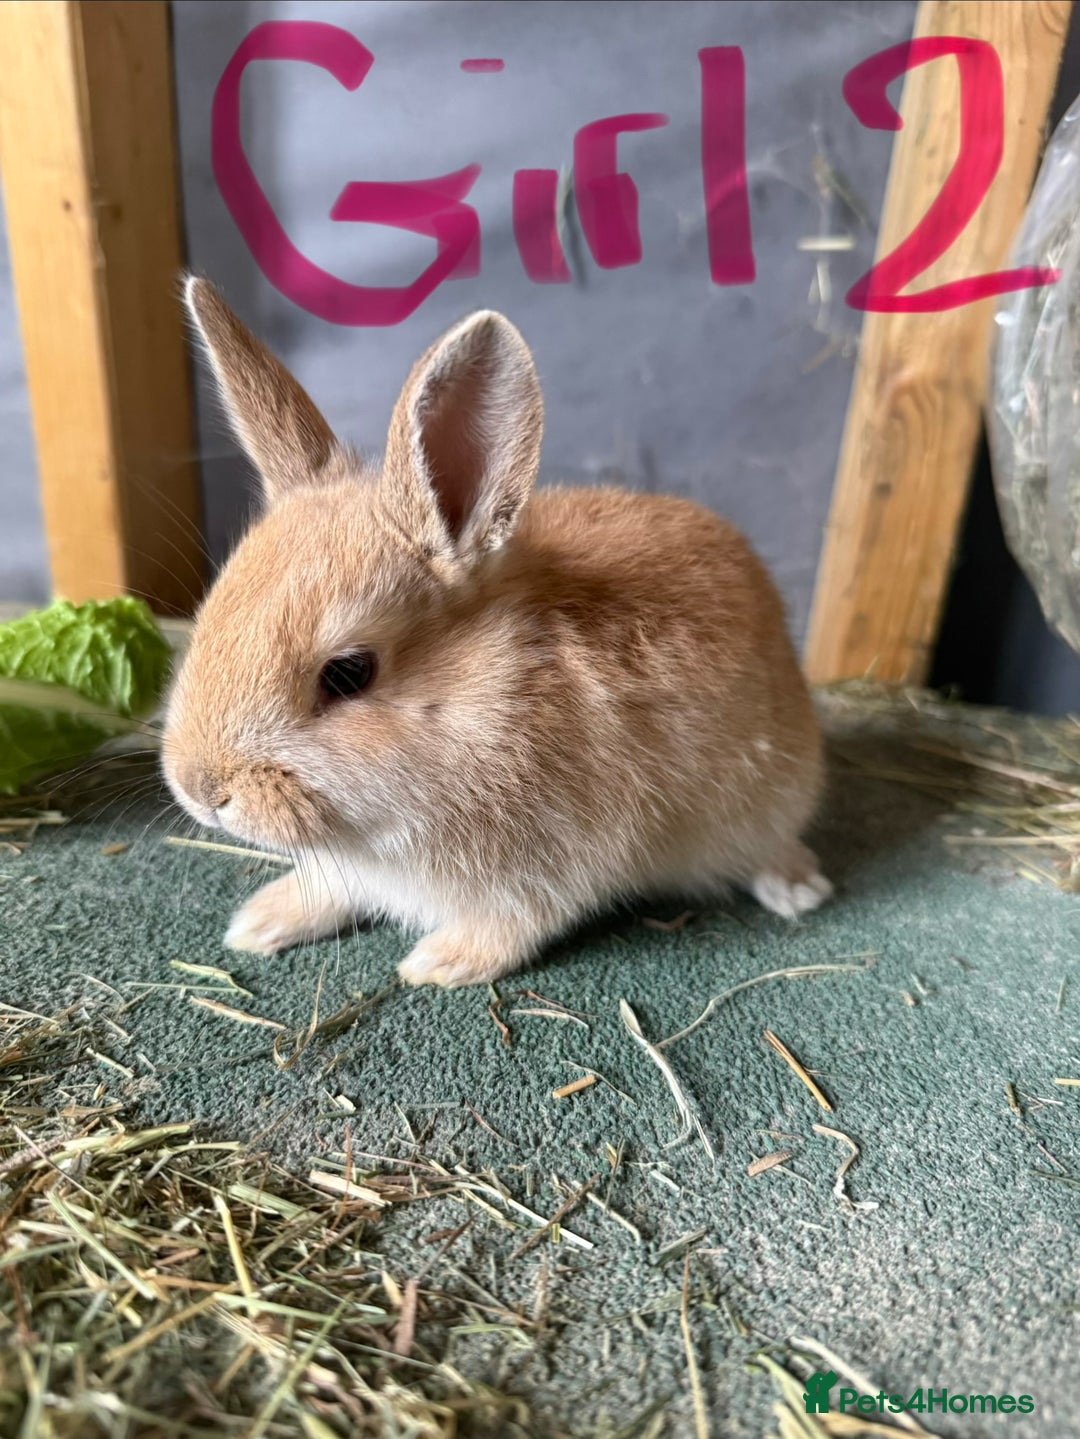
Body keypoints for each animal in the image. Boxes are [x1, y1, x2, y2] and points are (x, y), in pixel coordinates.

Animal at [162, 277, 831, 989]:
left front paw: (438, 964)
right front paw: (260, 922)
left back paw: (798, 890)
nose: (202, 792)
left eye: (348, 673)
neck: (486, 697)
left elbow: (517, 923)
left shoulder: (555, 866)